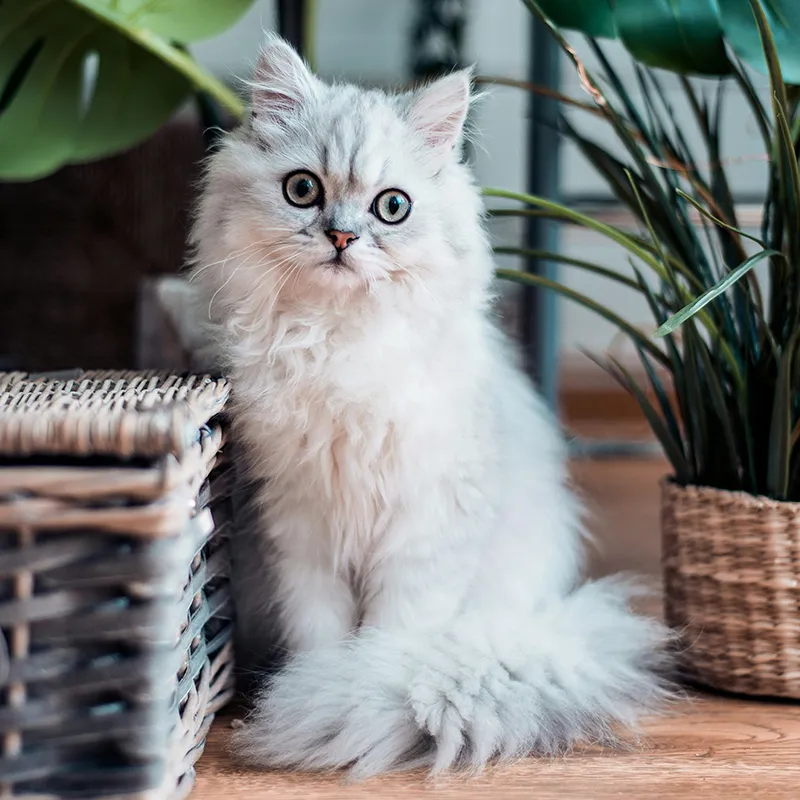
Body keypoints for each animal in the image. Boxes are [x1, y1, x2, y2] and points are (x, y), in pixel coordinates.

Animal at [188, 36, 668, 776]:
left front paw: (355, 689)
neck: (338, 346)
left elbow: (393, 636)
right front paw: (318, 685)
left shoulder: (425, 530)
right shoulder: (298, 531)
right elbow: (321, 632)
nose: (342, 238)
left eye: (392, 207)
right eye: (303, 190)